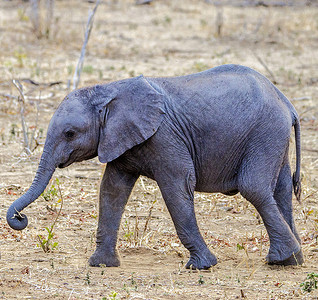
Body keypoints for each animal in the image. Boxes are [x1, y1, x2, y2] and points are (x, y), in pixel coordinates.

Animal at [6, 64, 302, 268]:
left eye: (69, 133)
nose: (21, 218)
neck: (108, 90)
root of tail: (287, 101)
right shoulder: (121, 140)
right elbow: (112, 190)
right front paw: (101, 265)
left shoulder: (164, 137)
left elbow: (176, 188)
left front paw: (202, 266)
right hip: (273, 136)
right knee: (281, 191)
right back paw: (294, 259)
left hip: (265, 132)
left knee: (254, 188)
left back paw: (281, 259)